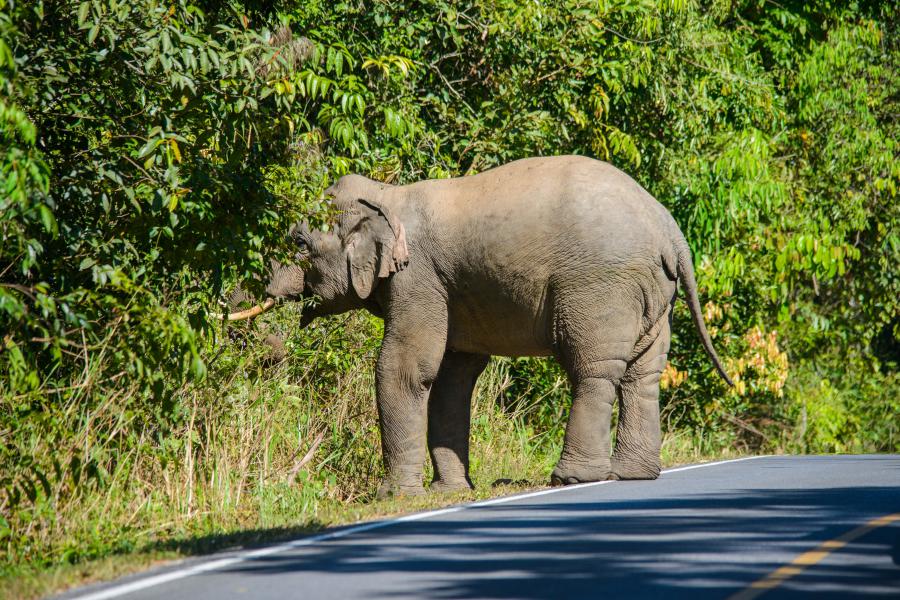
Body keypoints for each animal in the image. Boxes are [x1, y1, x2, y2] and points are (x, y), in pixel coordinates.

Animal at [222, 155, 733, 498]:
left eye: (300, 243)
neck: (386, 195)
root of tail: (671, 232)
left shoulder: (417, 278)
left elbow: (407, 368)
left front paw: (396, 497)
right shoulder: (449, 290)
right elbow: (452, 377)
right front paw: (450, 492)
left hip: (600, 285)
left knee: (593, 370)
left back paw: (571, 478)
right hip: (653, 294)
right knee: (643, 374)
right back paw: (632, 475)